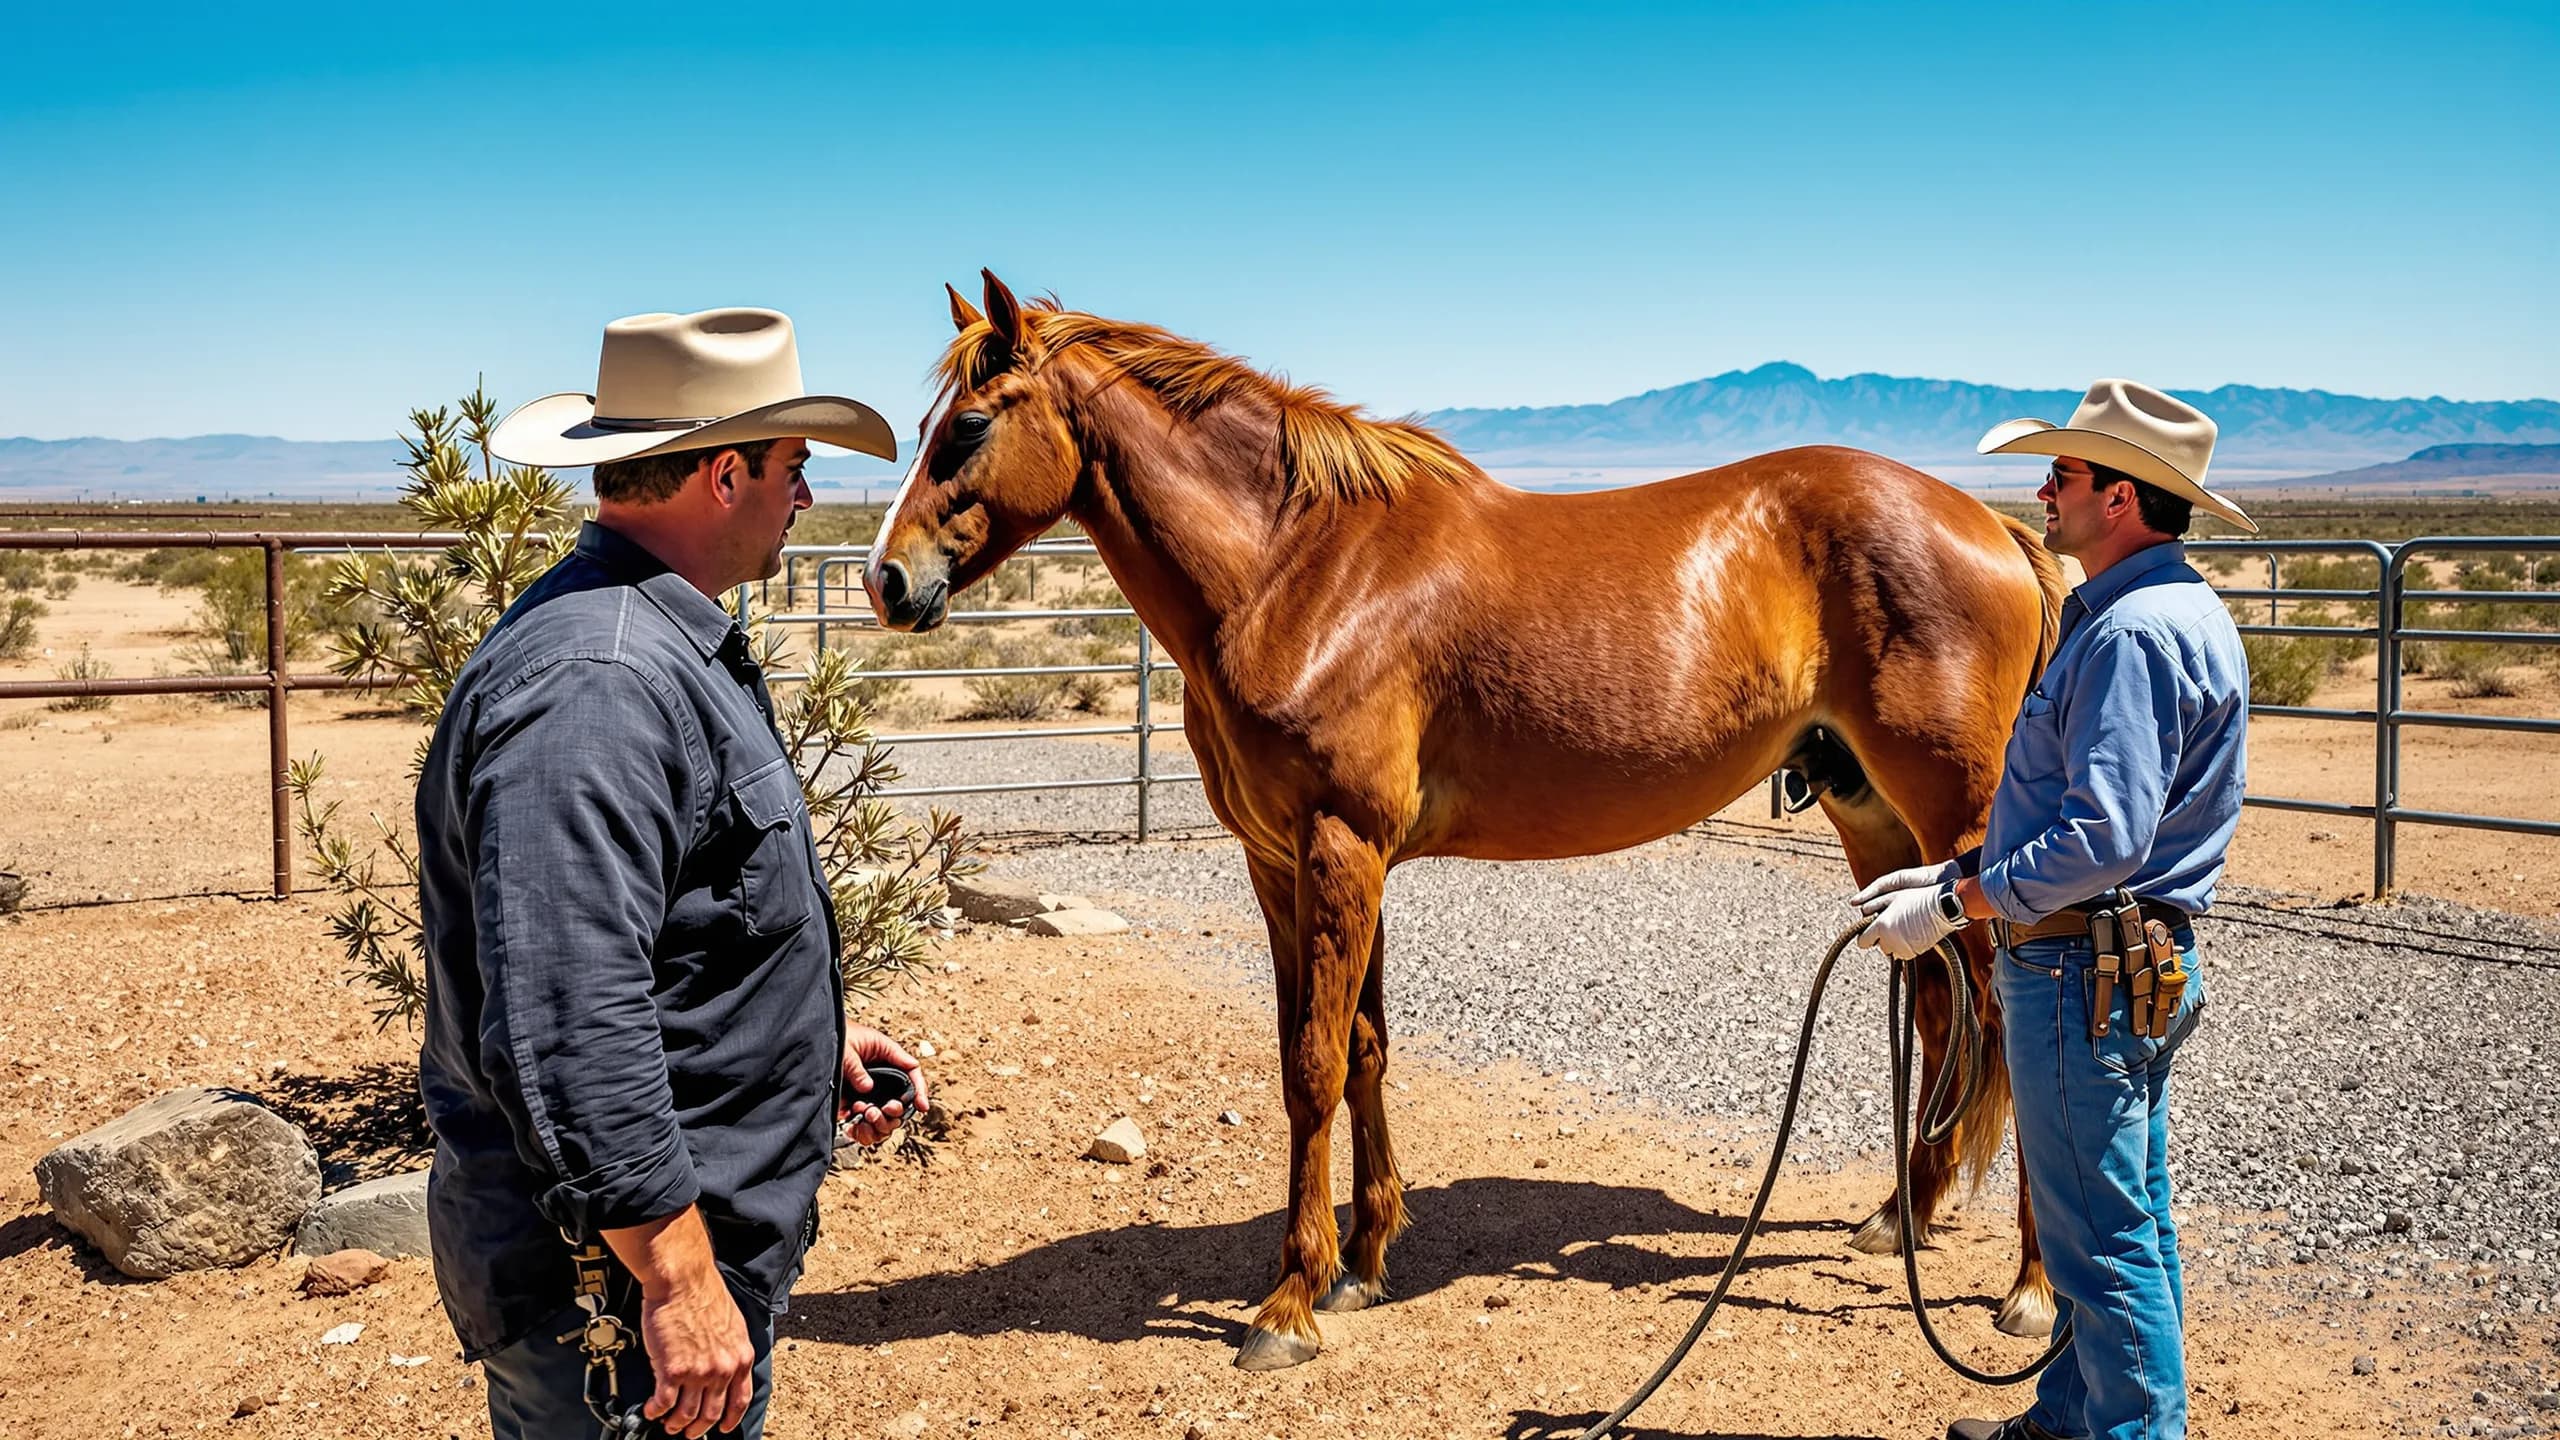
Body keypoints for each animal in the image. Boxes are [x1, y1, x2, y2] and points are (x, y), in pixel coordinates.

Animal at [865, 271, 2068, 1372]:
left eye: (968, 425)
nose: (886, 581)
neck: (1295, 566)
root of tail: (1993, 526)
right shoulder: (1289, 863)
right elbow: (1356, 1047)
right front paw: (1359, 1264)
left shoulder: (1341, 847)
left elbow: (1310, 1065)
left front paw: (1287, 1306)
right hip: (1880, 827)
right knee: (1938, 1012)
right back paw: (1898, 1218)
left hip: (1964, 829)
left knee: (2009, 1021)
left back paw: (2031, 1292)